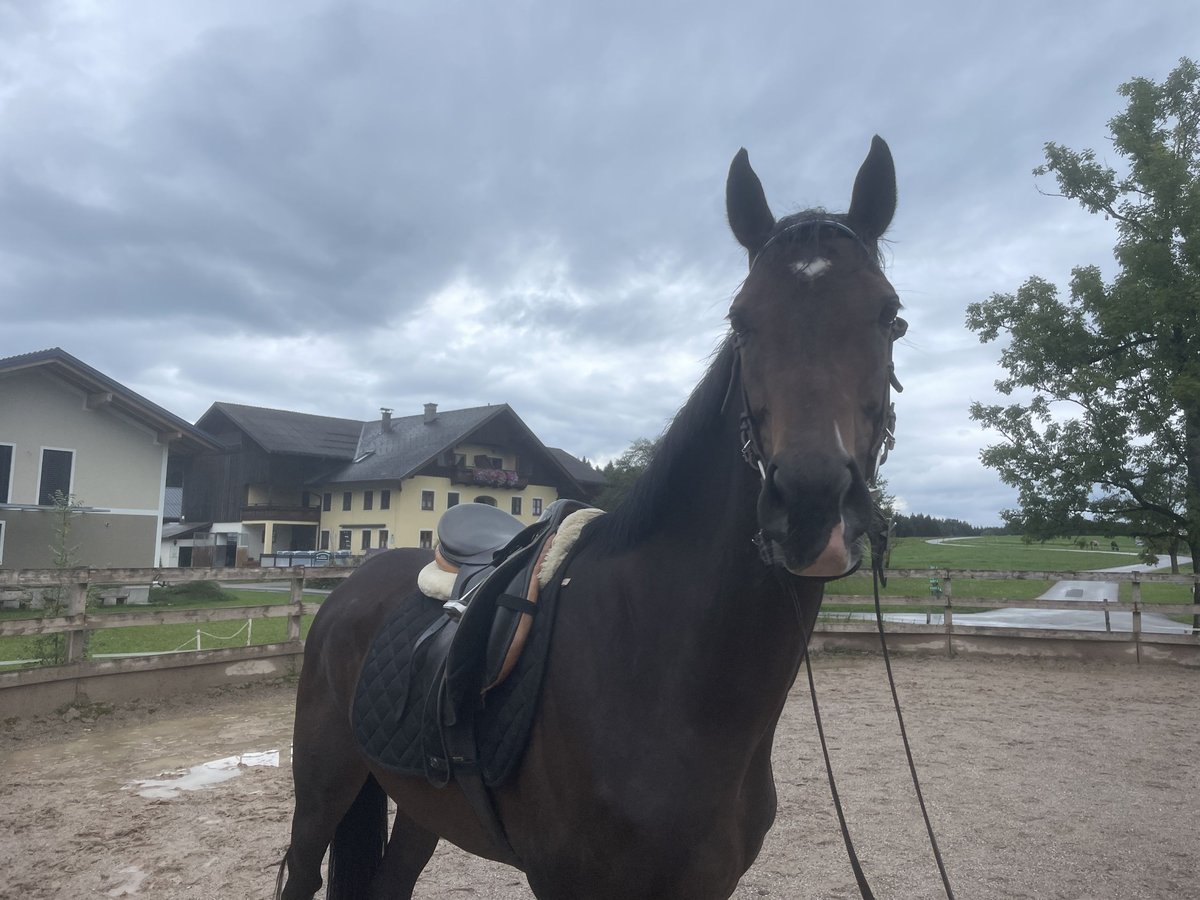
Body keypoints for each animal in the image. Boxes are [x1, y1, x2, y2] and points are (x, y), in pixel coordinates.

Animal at [278, 137, 902, 897]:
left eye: (890, 315)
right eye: (740, 321)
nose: (812, 506)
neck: (666, 676)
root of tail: (350, 588)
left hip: (423, 804)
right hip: (323, 788)